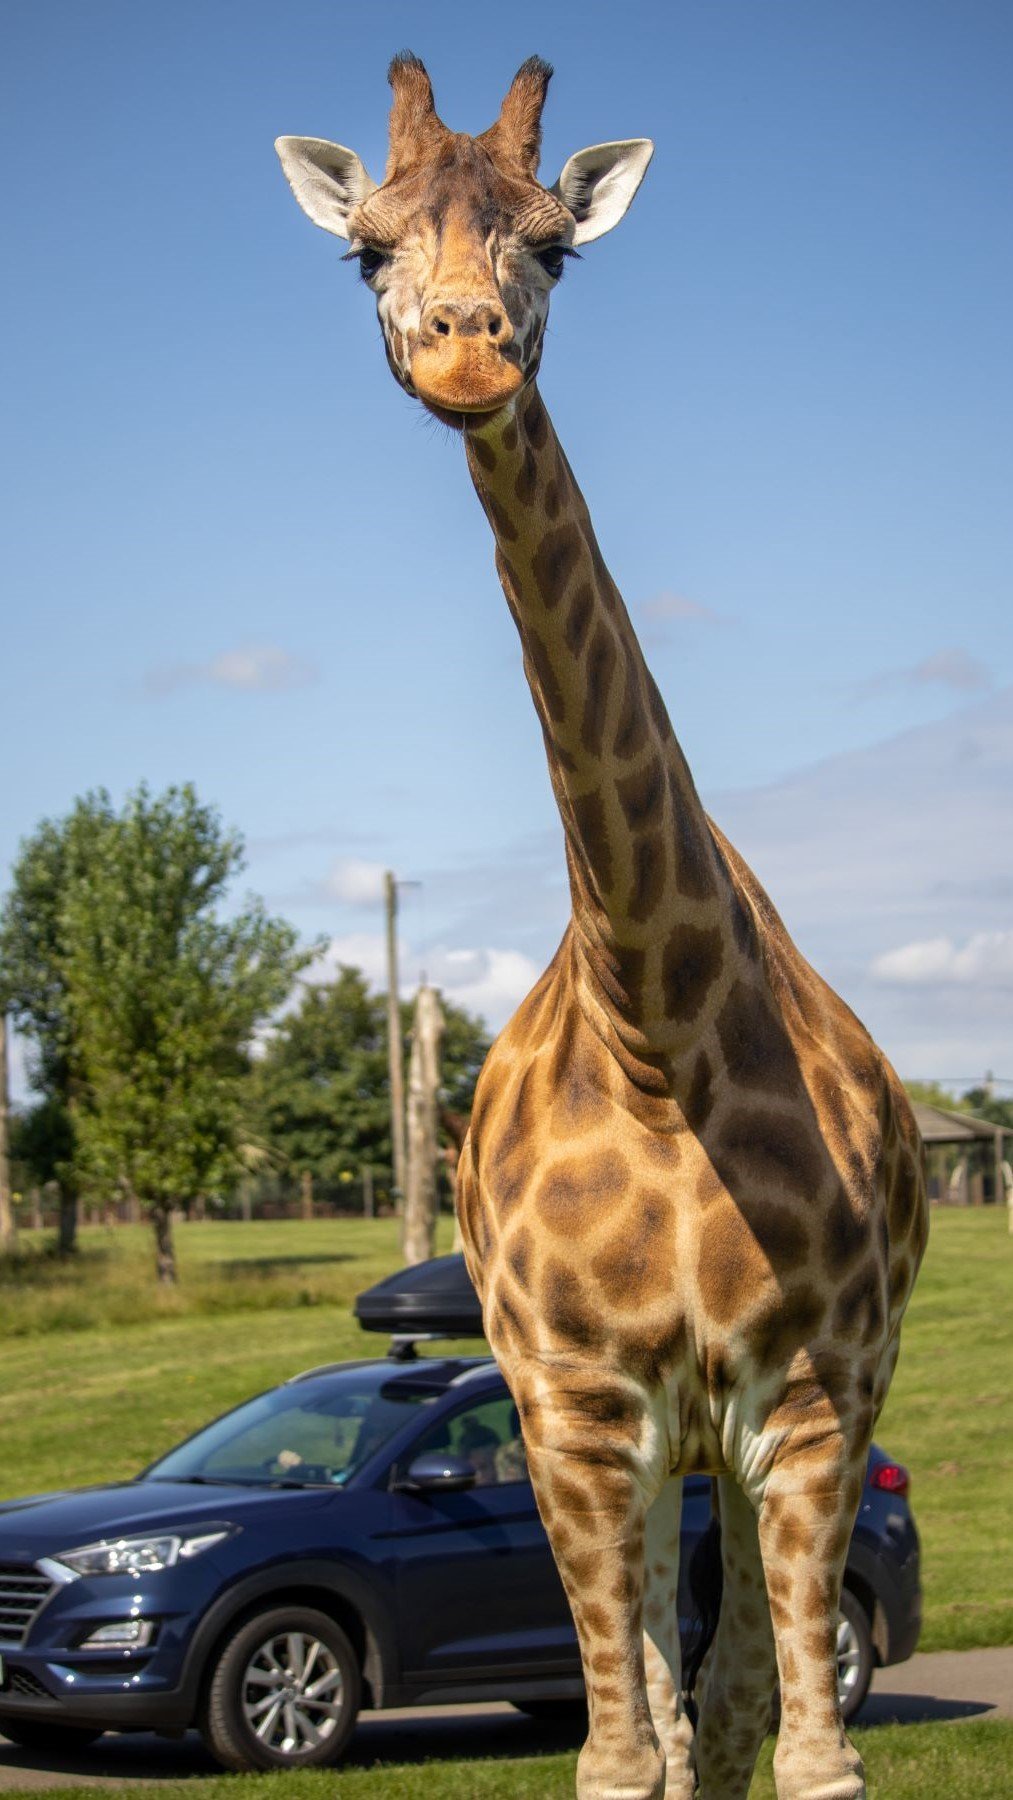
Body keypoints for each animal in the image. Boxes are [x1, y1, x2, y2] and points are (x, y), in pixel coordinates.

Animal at [275, 56, 928, 1800]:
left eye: (555, 246)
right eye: (365, 253)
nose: (465, 346)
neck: (655, 1029)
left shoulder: (811, 1399)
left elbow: (803, 1750)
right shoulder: (572, 1411)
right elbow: (623, 1756)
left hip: (754, 1434)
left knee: (733, 1695)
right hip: (634, 1453)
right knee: (668, 1704)